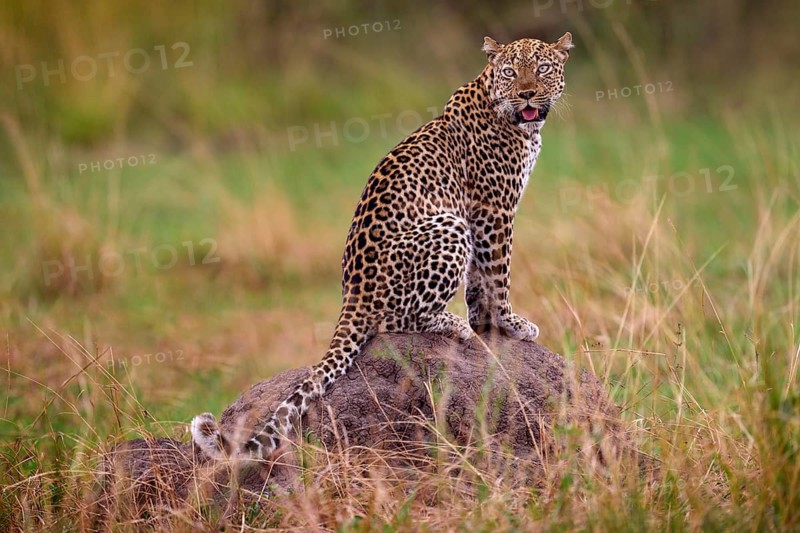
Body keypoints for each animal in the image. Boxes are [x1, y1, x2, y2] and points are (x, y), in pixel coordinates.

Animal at [191, 32, 573, 461]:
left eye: (542, 68)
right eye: (509, 71)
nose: (527, 93)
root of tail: (352, 298)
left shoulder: (485, 213)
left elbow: (480, 281)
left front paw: (486, 324)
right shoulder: (492, 210)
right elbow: (497, 273)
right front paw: (509, 323)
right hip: (448, 226)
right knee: (396, 321)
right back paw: (452, 324)